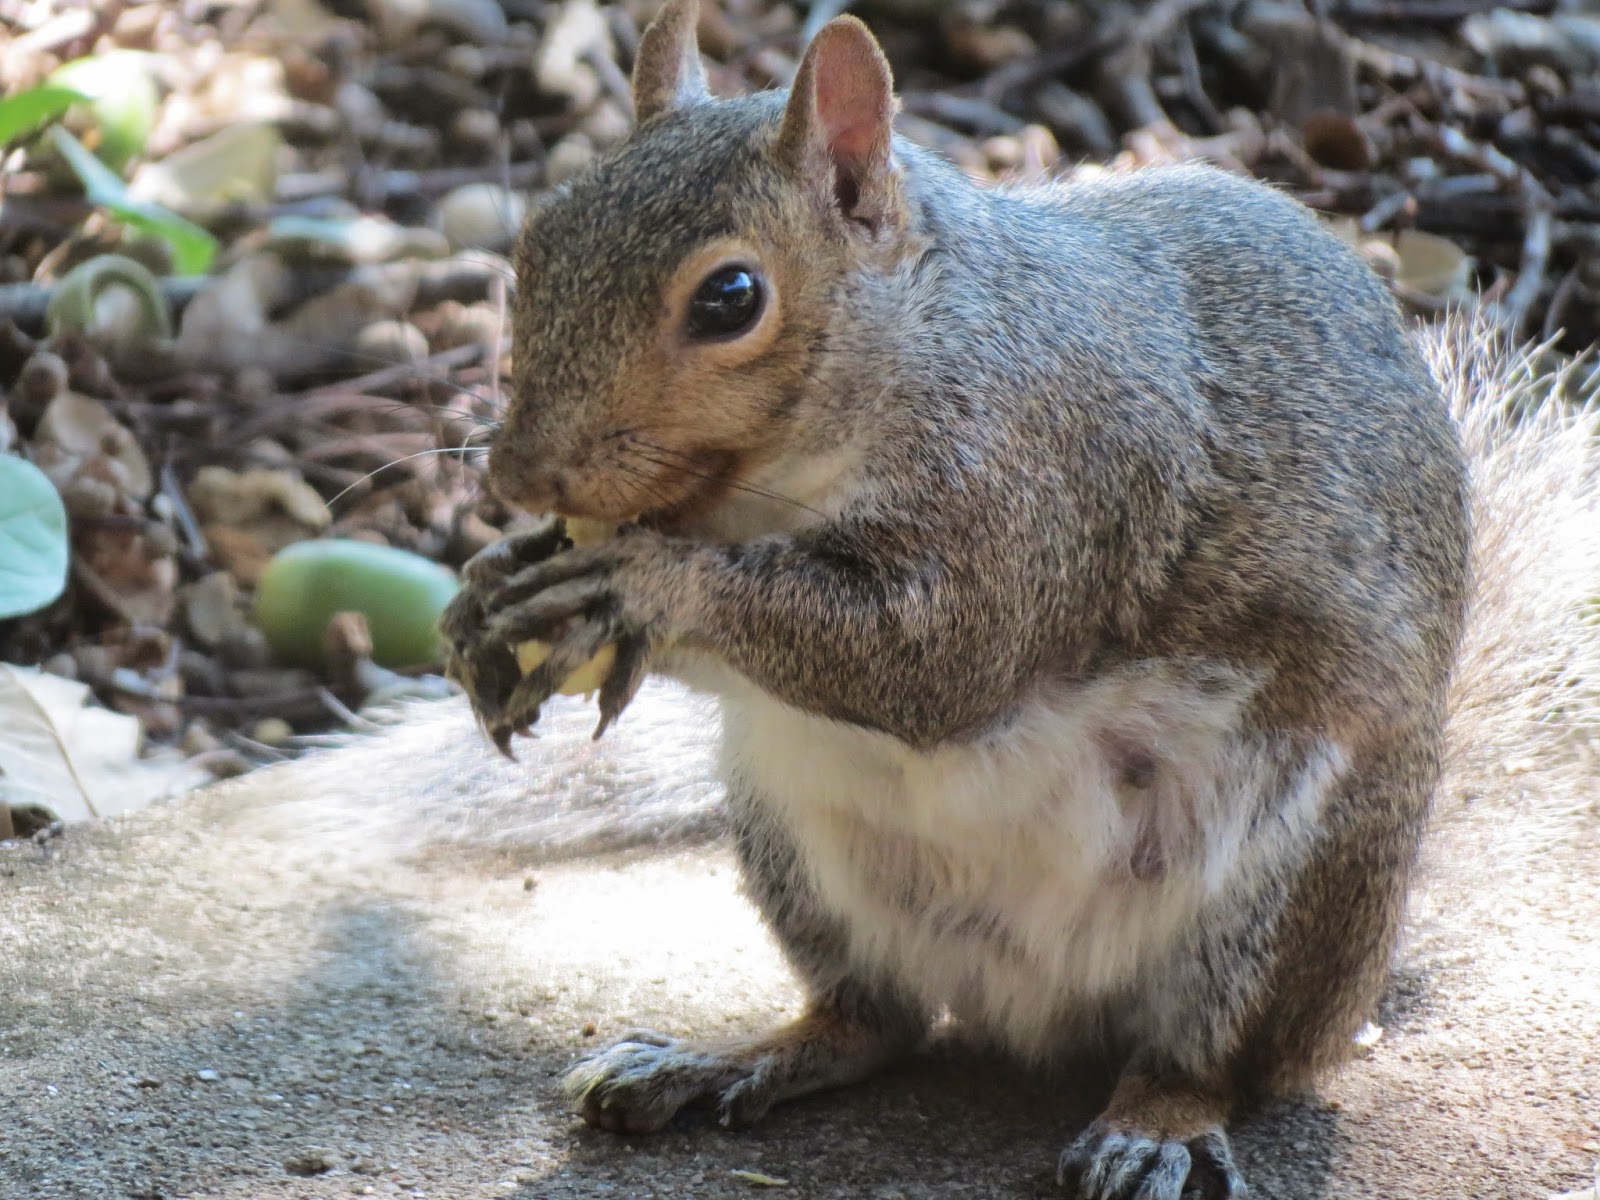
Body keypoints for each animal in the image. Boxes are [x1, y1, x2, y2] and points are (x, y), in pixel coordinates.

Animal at [437, 1, 1600, 1196]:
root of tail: (1036, 1009)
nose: (517, 475)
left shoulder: (1049, 486)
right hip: (788, 838)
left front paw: (639, 584)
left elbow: (939, 659)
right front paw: (488, 590)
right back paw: (729, 1059)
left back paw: (1154, 1123)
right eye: (540, 240)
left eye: (731, 299)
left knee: (1214, 1057)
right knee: (874, 1021)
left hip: (1294, 883)